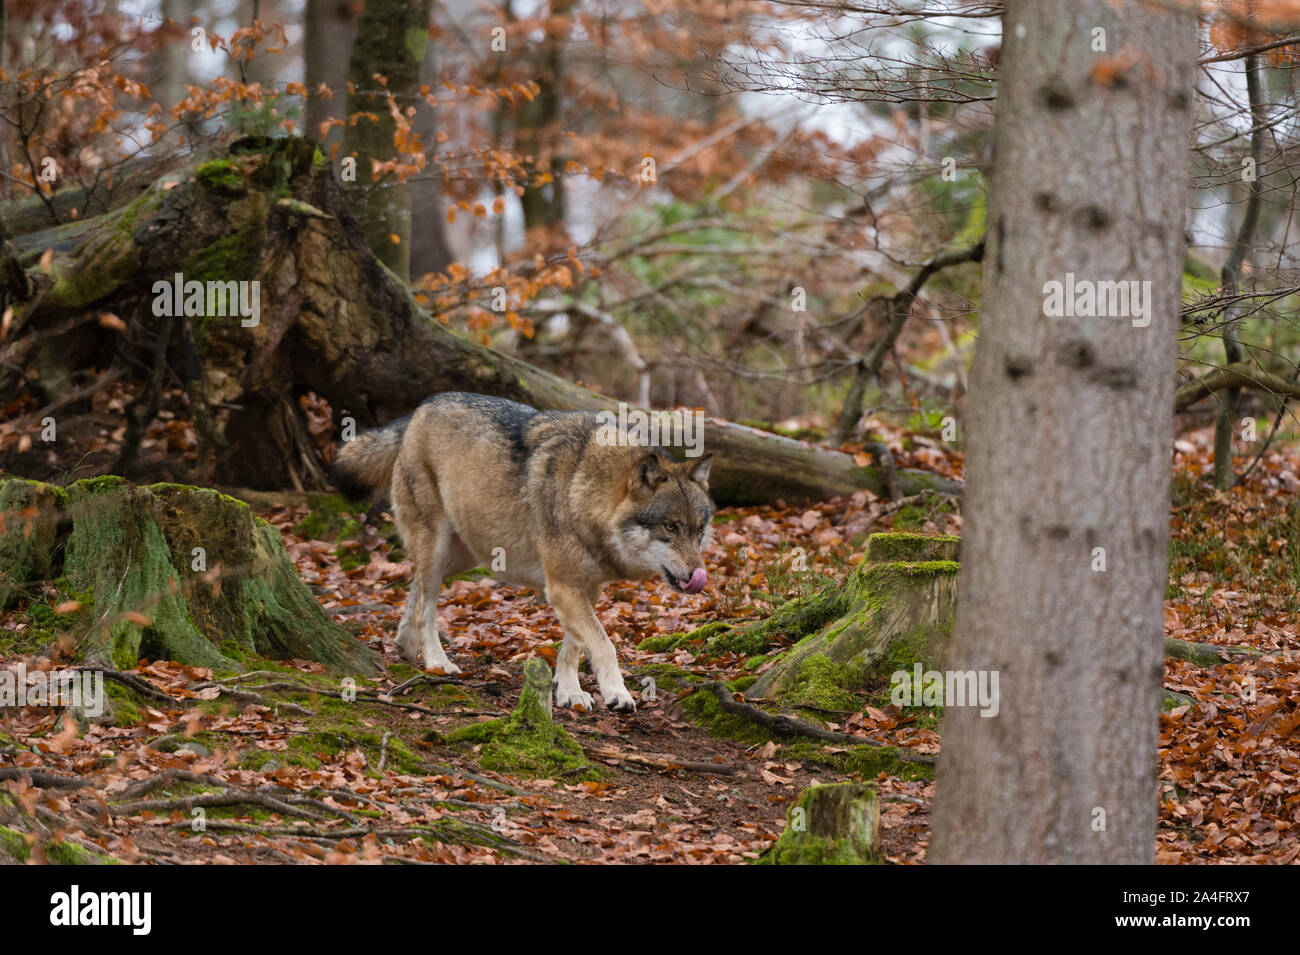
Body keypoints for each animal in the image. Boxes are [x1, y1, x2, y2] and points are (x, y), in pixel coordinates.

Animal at [333, 393, 716, 713]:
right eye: (671, 527)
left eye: (698, 530)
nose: (699, 575)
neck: (583, 489)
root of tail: (421, 409)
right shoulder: (562, 587)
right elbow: (603, 643)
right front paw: (616, 693)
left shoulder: (584, 587)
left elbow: (574, 646)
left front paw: (570, 693)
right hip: (439, 546)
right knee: (426, 605)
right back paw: (436, 661)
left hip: (465, 556)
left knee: (414, 586)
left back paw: (404, 643)